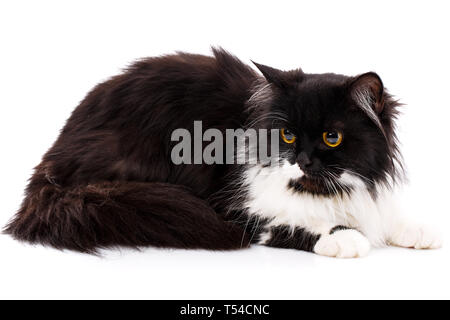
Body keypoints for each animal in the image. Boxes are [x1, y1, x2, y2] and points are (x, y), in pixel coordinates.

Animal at [3, 47, 442, 258]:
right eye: (286, 135)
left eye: (331, 138)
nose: (300, 160)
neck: (325, 191)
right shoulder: (240, 209)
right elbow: (298, 223)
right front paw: (346, 239)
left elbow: (386, 216)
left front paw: (419, 231)